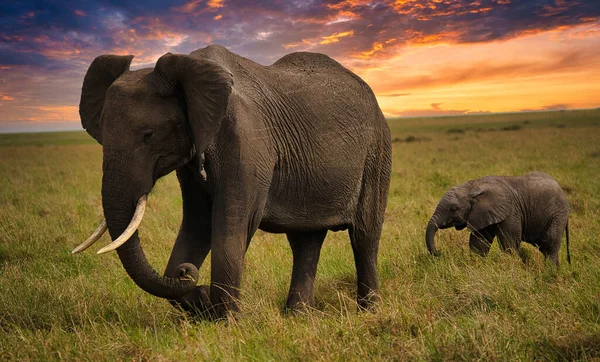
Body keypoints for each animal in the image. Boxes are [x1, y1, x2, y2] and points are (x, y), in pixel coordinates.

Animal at [74, 44, 394, 316]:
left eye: (148, 135)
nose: (188, 274)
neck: (190, 71)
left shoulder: (248, 141)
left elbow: (232, 223)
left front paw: (226, 320)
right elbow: (198, 223)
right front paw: (200, 302)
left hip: (377, 150)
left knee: (364, 235)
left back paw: (368, 312)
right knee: (305, 240)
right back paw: (297, 315)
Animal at [424, 171, 568, 264]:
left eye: (454, 209)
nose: (440, 252)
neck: (472, 187)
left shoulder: (511, 212)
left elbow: (509, 243)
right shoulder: (481, 214)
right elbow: (479, 243)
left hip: (558, 215)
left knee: (549, 244)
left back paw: (549, 273)